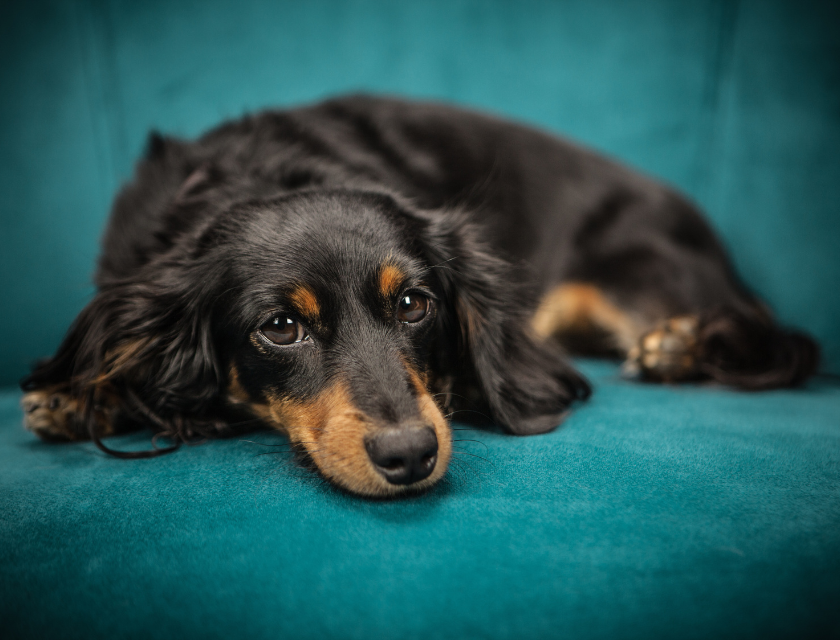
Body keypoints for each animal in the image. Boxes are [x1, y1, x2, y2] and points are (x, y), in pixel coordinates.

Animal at [21, 94, 820, 496]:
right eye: (280, 326)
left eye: (413, 304)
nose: (410, 455)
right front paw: (78, 395)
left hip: (637, 273)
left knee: (780, 342)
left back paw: (680, 345)